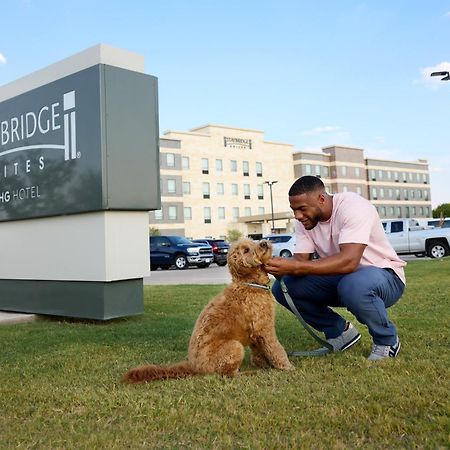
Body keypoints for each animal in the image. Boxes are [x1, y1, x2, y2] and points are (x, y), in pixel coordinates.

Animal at [123, 237, 294, 382]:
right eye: (246, 250)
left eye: (253, 241)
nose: (264, 243)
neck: (250, 284)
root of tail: (194, 367)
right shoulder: (265, 328)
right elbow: (276, 348)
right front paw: (287, 367)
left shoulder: (255, 333)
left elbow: (260, 352)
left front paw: (264, 365)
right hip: (234, 347)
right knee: (227, 374)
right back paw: (248, 373)